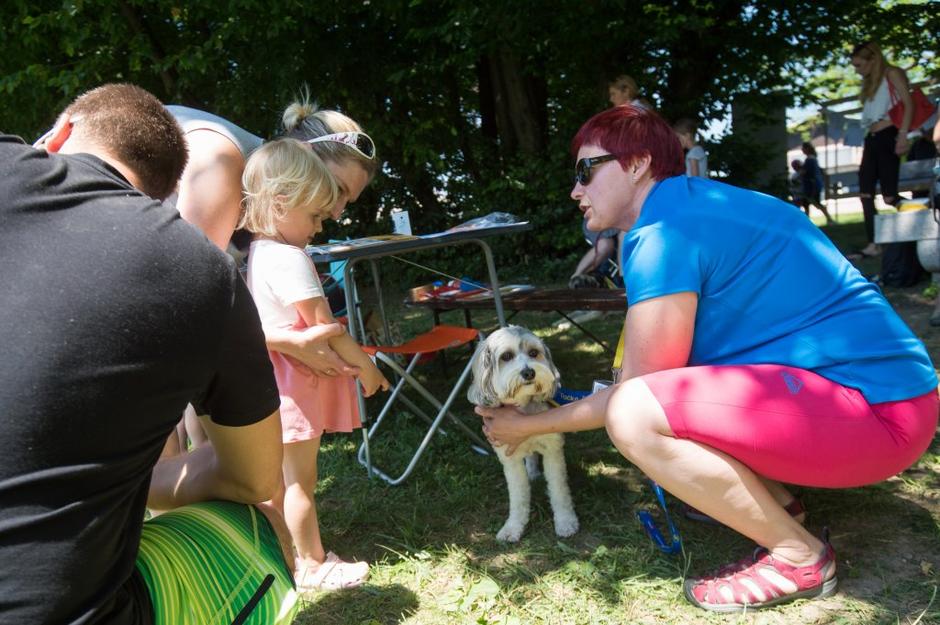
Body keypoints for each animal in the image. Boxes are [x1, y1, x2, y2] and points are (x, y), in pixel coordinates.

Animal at [466, 326, 576, 540]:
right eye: (506, 356)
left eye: (534, 353)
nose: (529, 372)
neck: (523, 407)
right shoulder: (509, 459)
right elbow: (518, 496)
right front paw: (513, 527)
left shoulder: (553, 450)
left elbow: (559, 490)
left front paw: (566, 521)